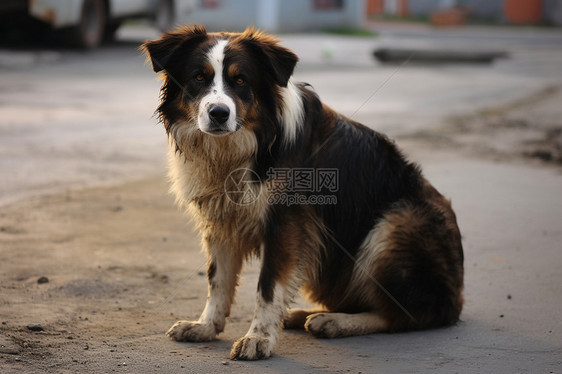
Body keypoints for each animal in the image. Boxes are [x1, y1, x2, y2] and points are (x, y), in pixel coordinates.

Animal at [141, 25, 464, 360]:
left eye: (241, 80)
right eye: (199, 78)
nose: (219, 113)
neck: (243, 146)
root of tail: (455, 299)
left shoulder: (288, 223)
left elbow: (268, 287)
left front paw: (259, 338)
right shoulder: (221, 218)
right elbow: (217, 279)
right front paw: (206, 326)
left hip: (395, 224)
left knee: (408, 314)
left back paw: (335, 322)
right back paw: (303, 315)